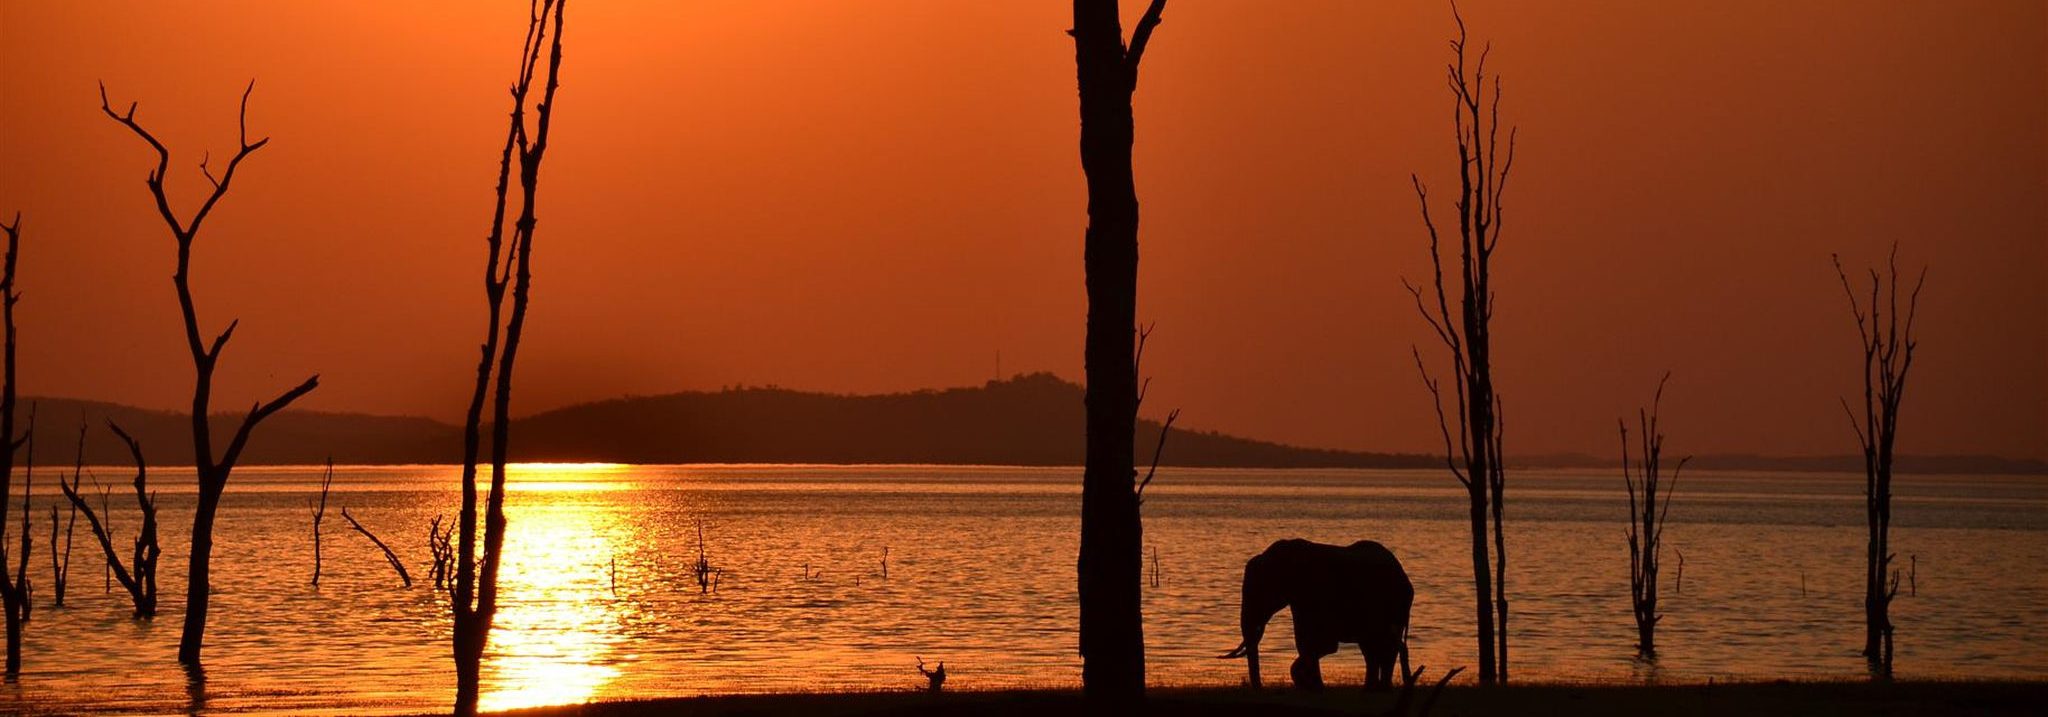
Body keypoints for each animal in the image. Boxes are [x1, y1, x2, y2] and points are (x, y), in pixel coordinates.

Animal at [1219, 538, 1413, 690]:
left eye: (1260, 593)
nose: (1259, 688)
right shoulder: (1299, 599)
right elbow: (1309, 642)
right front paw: (1312, 685)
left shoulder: (1314, 592)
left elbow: (1319, 643)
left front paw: (1313, 686)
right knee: (1372, 647)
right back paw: (1371, 689)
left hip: (1394, 603)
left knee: (1385, 645)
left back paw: (1380, 689)